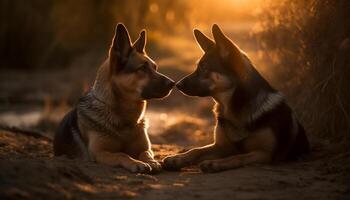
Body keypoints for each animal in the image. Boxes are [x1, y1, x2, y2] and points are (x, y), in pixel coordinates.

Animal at [54, 23, 174, 173]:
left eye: (155, 67)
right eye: (142, 68)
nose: (173, 83)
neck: (125, 120)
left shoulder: (146, 148)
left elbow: (145, 153)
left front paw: (151, 161)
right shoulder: (100, 153)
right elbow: (121, 154)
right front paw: (136, 162)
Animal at [163, 24, 308, 172]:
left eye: (204, 67)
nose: (177, 85)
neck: (234, 109)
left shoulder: (263, 153)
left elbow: (238, 157)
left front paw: (214, 163)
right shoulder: (220, 146)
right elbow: (196, 150)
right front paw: (178, 158)